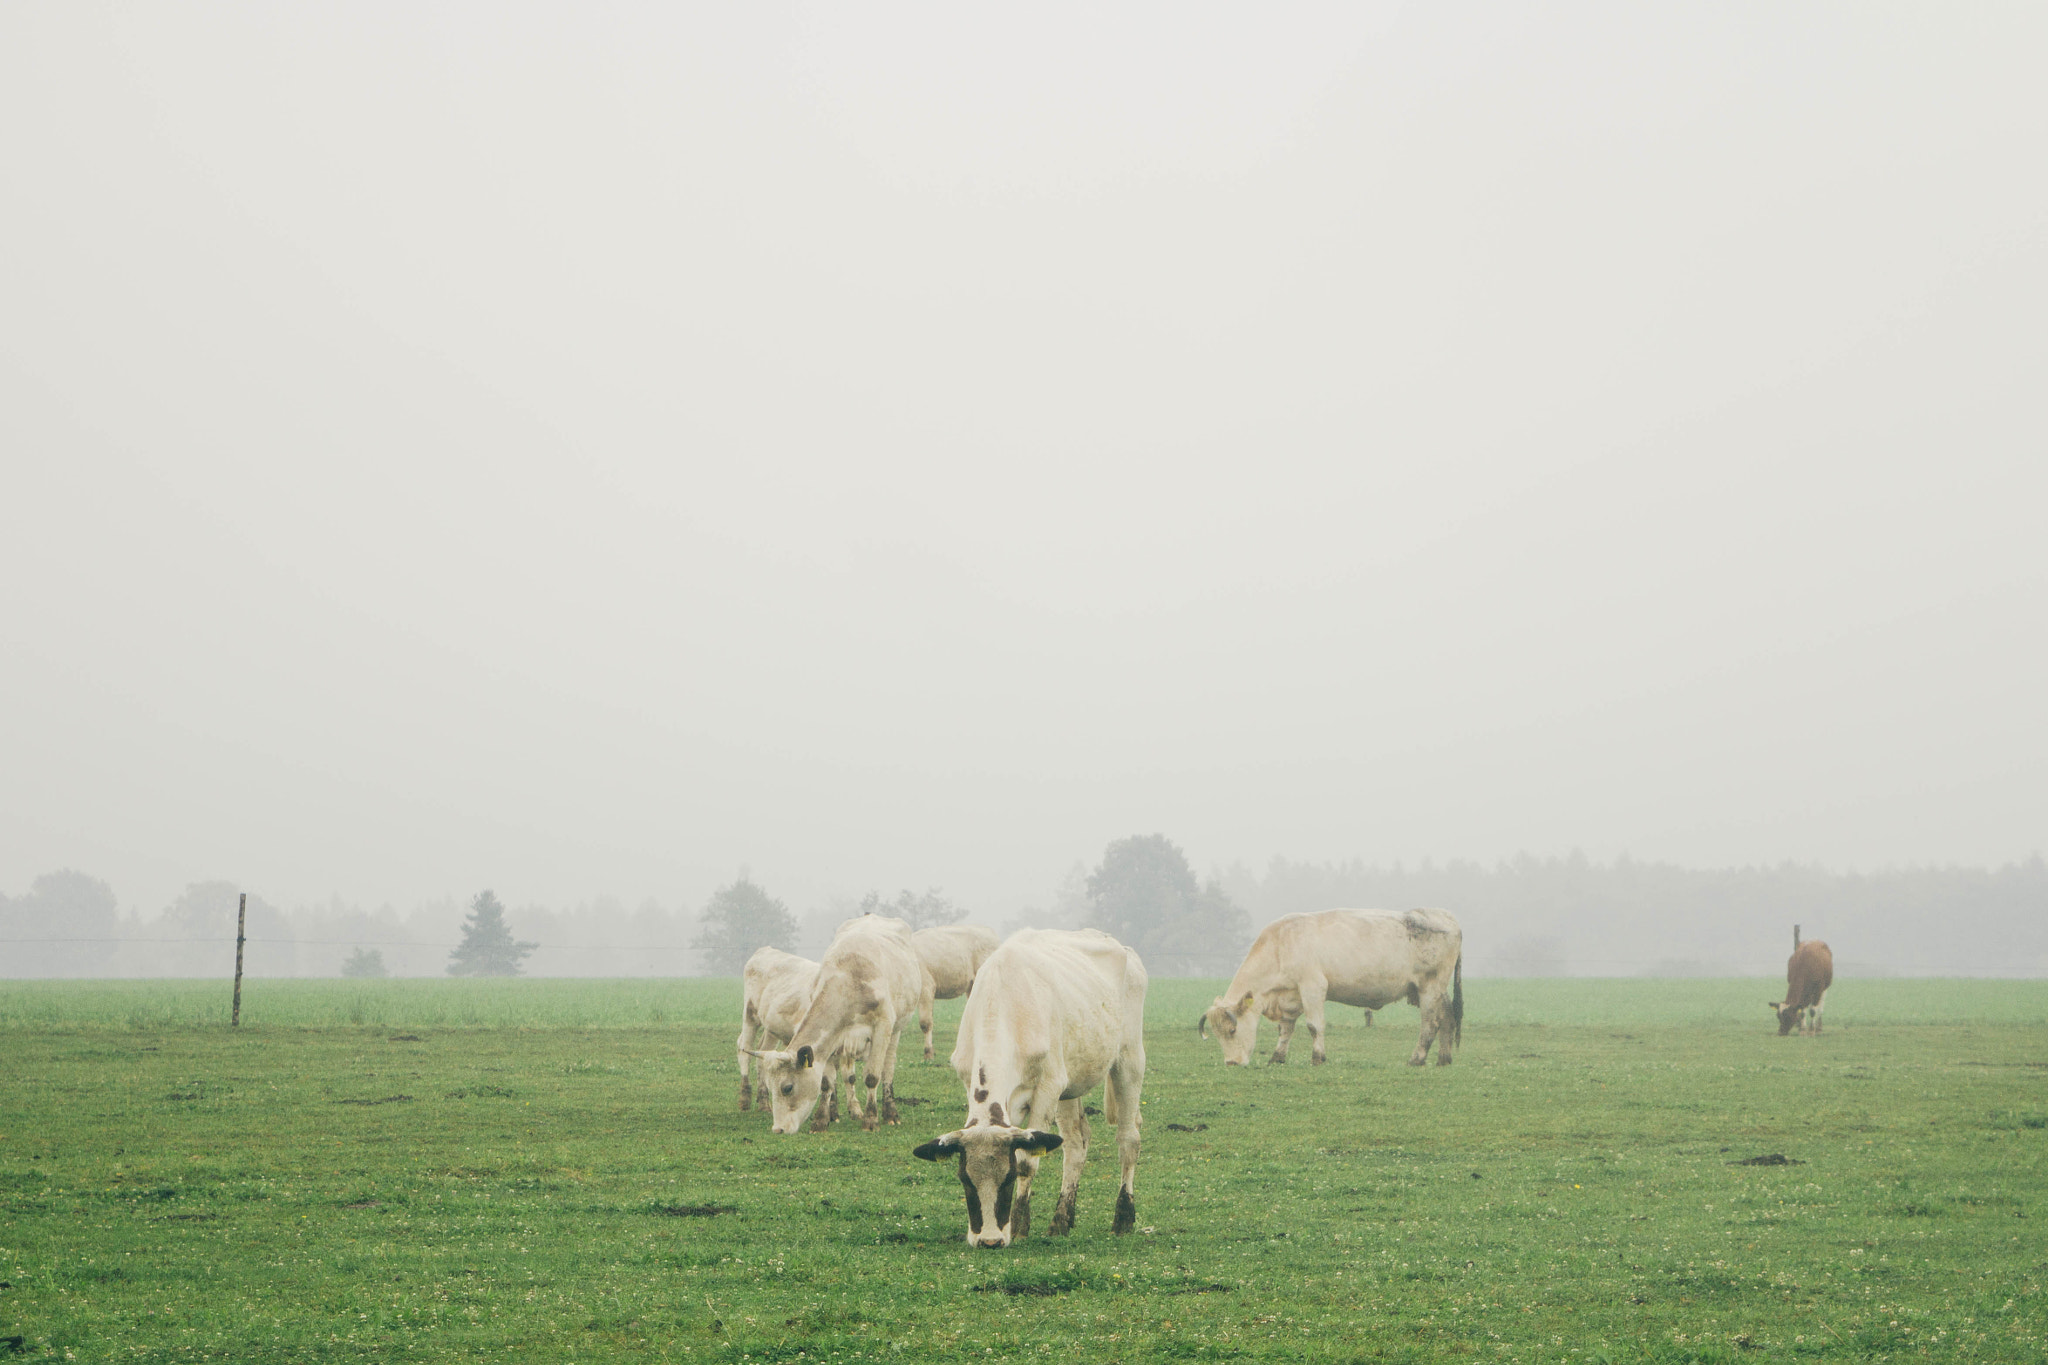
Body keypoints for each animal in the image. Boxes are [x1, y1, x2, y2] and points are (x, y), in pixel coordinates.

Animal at [748, 914, 930, 1134]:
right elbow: (827, 1082)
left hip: (896, 1029)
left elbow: (872, 1076)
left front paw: (870, 1120)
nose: (778, 1129)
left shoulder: (882, 1026)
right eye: (770, 1086)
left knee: (888, 1068)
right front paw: (820, 1120)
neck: (849, 978)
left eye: (787, 1087)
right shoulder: (833, 1038)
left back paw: (890, 1113)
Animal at [1199, 908, 1463, 1068]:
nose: (1231, 1063)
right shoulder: (1291, 997)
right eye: (1217, 1034)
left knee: (1431, 1023)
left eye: (1232, 1030)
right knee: (1448, 1018)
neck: (1279, 946)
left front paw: (1318, 1057)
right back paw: (1444, 1059)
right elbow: (1285, 1030)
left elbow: (1314, 1026)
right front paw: (1277, 1057)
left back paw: (1417, 1059)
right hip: (1437, 990)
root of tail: (1445, 916)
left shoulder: (1313, 987)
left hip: (1430, 986)